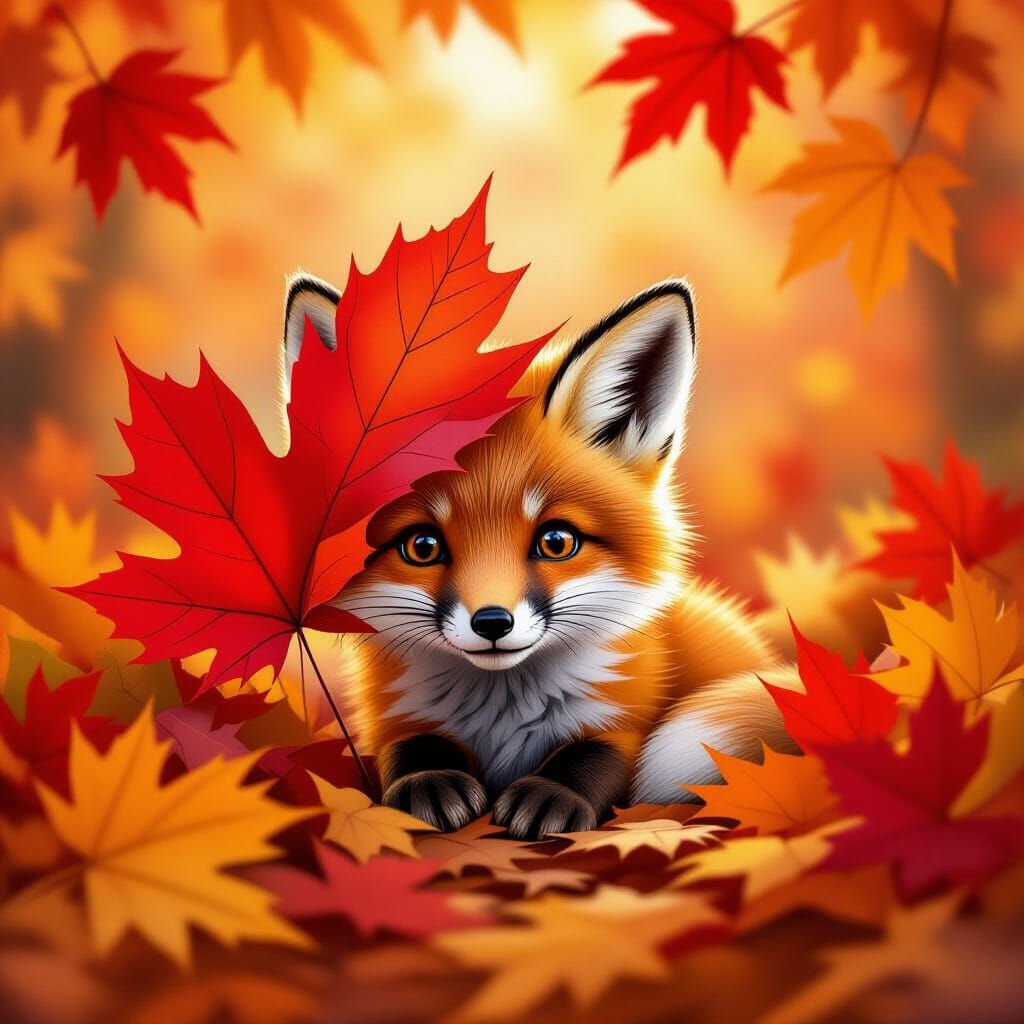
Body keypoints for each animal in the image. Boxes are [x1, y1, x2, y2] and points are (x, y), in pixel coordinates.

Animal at [282, 274, 799, 840]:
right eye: (422, 546)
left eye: (556, 542)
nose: (492, 623)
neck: (501, 712)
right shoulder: (393, 716)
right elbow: (411, 746)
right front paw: (428, 780)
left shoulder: (626, 712)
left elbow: (596, 756)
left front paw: (553, 793)